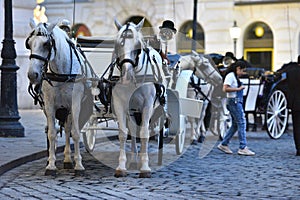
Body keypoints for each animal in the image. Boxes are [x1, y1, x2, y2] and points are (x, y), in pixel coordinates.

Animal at [26, 21, 97, 176]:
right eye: (29, 43)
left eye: (46, 44)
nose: (32, 75)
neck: (61, 73)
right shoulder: (49, 105)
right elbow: (52, 133)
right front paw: (51, 165)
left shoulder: (75, 104)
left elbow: (75, 133)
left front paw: (79, 165)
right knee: (63, 128)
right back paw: (64, 159)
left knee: (69, 128)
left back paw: (69, 159)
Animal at [111, 18, 166, 178]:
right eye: (118, 44)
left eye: (137, 46)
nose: (127, 76)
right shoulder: (120, 103)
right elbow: (123, 133)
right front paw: (121, 166)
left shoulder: (147, 105)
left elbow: (144, 133)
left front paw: (145, 167)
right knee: (133, 129)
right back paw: (133, 157)